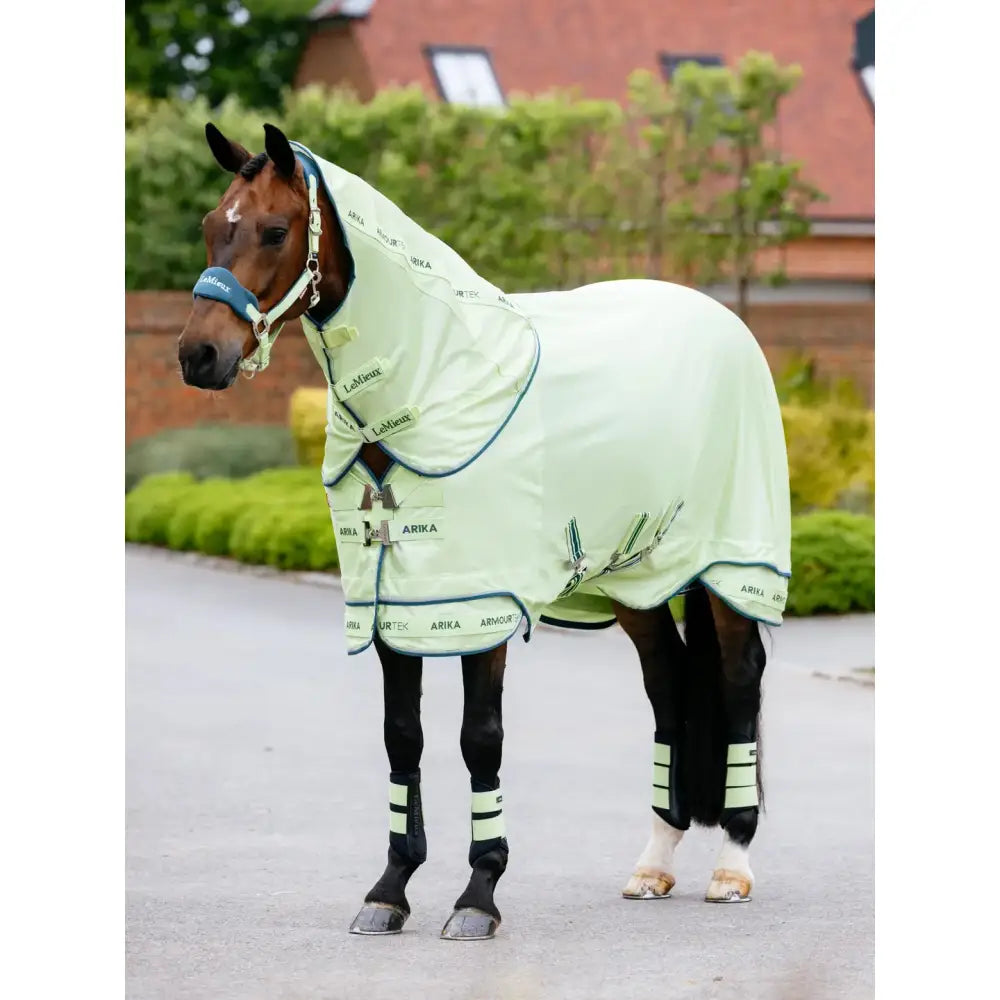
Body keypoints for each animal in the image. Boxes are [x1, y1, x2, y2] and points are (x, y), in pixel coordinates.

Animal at [177, 122, 791, 941]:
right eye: (214, 226)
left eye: (275, 231)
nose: (198, 355)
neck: (436, 382)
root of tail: (726, 323)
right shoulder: (395, 603)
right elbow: (402, 735)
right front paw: (390, 889)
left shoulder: (482, 605)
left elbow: (480, 739)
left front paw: (479, 894)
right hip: (636, 576)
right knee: (667, 687)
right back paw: (654, 864)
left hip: (731, 568)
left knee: (739, 680)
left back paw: (732, 866)